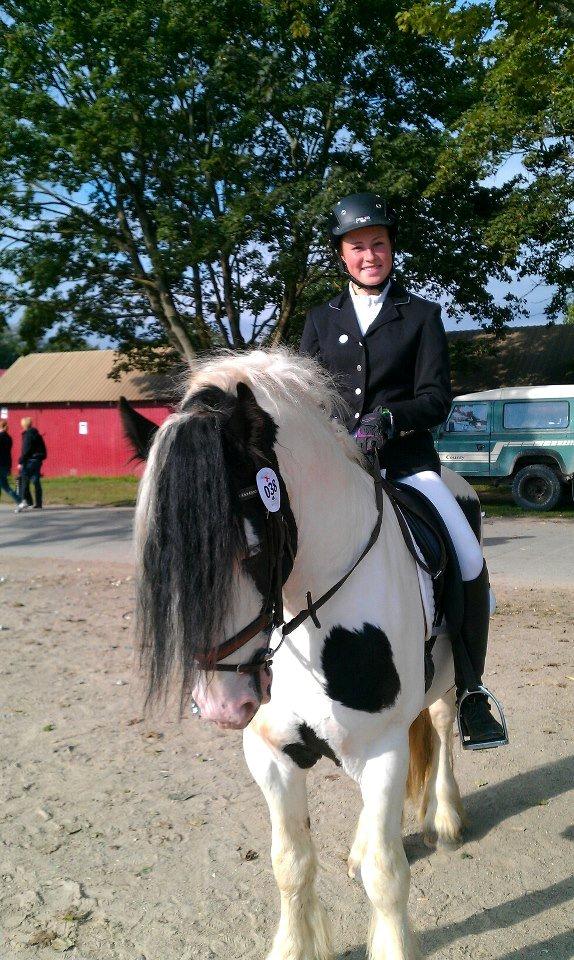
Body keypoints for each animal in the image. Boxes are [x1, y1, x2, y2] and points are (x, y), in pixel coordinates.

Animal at [133, 350, 480, 960]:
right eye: (165, 553)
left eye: (251, 547)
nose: (222, 705)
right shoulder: (270, 754)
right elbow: (290, 864)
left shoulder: (383, 749)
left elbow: (387, 877)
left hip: (444, 683)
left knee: (440, 725)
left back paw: (444, 818)